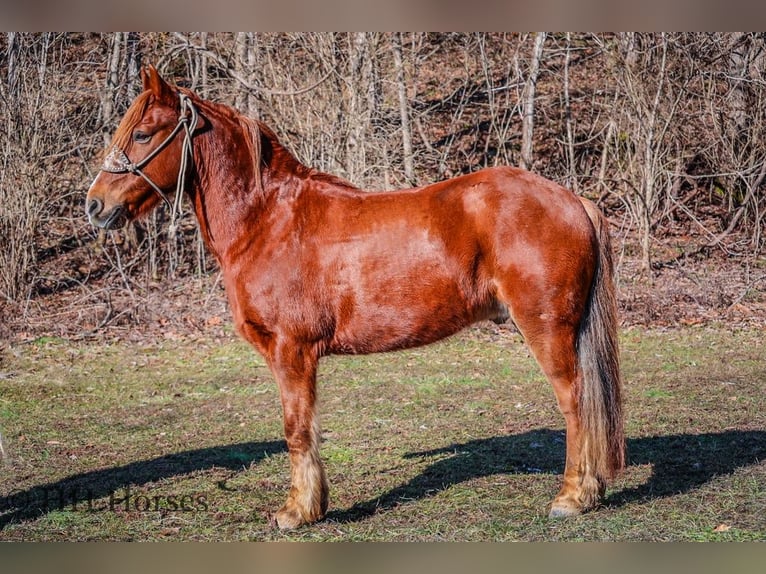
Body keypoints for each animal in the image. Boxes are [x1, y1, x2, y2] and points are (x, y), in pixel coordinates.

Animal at [86, 65, 624, 530]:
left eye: (142, 133)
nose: (95, 205)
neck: (267, 220)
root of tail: (573, 200)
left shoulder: (292, 351)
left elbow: (296, 429)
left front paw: (297, 512)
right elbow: (306, 428)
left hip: (547, 328)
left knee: (576, 403)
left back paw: (573, 497)